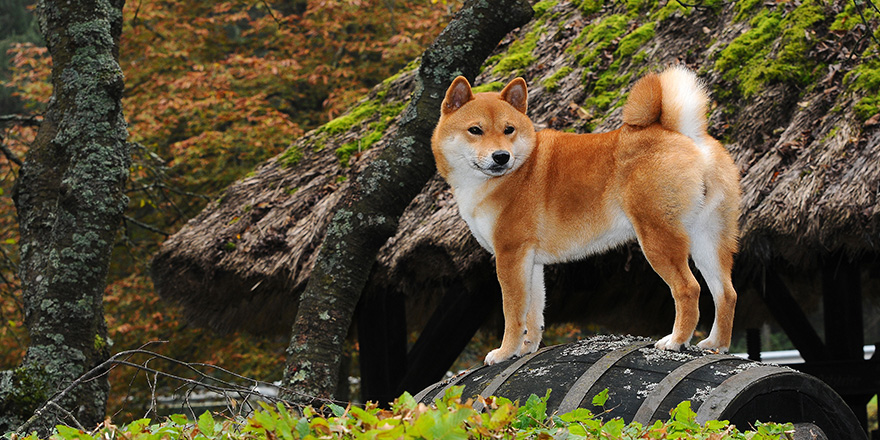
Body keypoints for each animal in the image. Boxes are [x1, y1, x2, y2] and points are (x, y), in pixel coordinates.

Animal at [434, 65, 744, 364]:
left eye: (508, 129)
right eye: (475, 130)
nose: (501, 157)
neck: (514, 172)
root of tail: (685, 136)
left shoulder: (510, 255)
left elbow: (513, 314)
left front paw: (504, 353)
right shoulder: (530, 261)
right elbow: (533, 314)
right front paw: (525, 350)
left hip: (658, 239)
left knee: (689, 289)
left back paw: (676, 340)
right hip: (707, 239)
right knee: (726, 293)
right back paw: (716, 345)